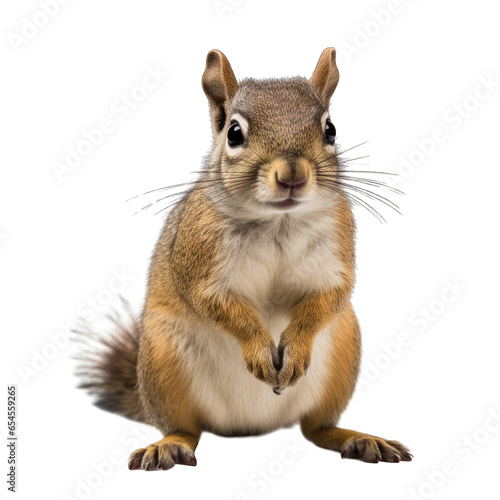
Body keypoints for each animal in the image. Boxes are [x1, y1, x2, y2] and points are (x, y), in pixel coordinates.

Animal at [78, 47, 412, 468]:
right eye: (234, 133)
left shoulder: (335, 254)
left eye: (331, 129)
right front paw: (257, 349)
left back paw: (358, 439)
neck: (278, 222)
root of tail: (249, 426)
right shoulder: (200, 261)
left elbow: (330, 296)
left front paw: (296, 348)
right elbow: (214, 302)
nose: (292, 176)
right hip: (162, 360)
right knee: (186, 428)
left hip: (343, 349)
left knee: (316, 427)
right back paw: (168, 445)